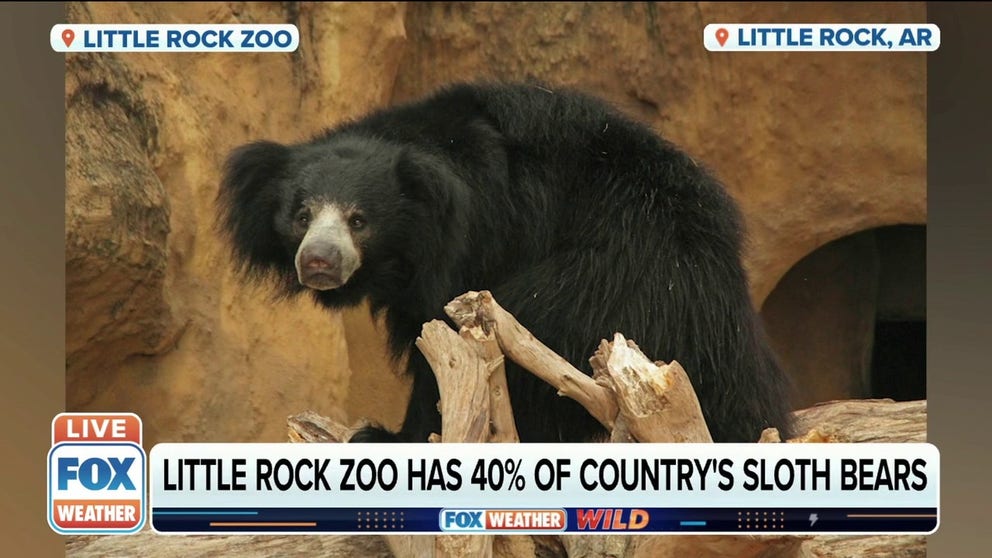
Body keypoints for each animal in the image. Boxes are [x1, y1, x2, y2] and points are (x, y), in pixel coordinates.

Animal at [217, 81, 792, 444]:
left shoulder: (488, 242)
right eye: (301, 215)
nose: (318, 260)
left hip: (611, 287)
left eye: (360, 220)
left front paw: (383, 436)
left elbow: (449, 354)